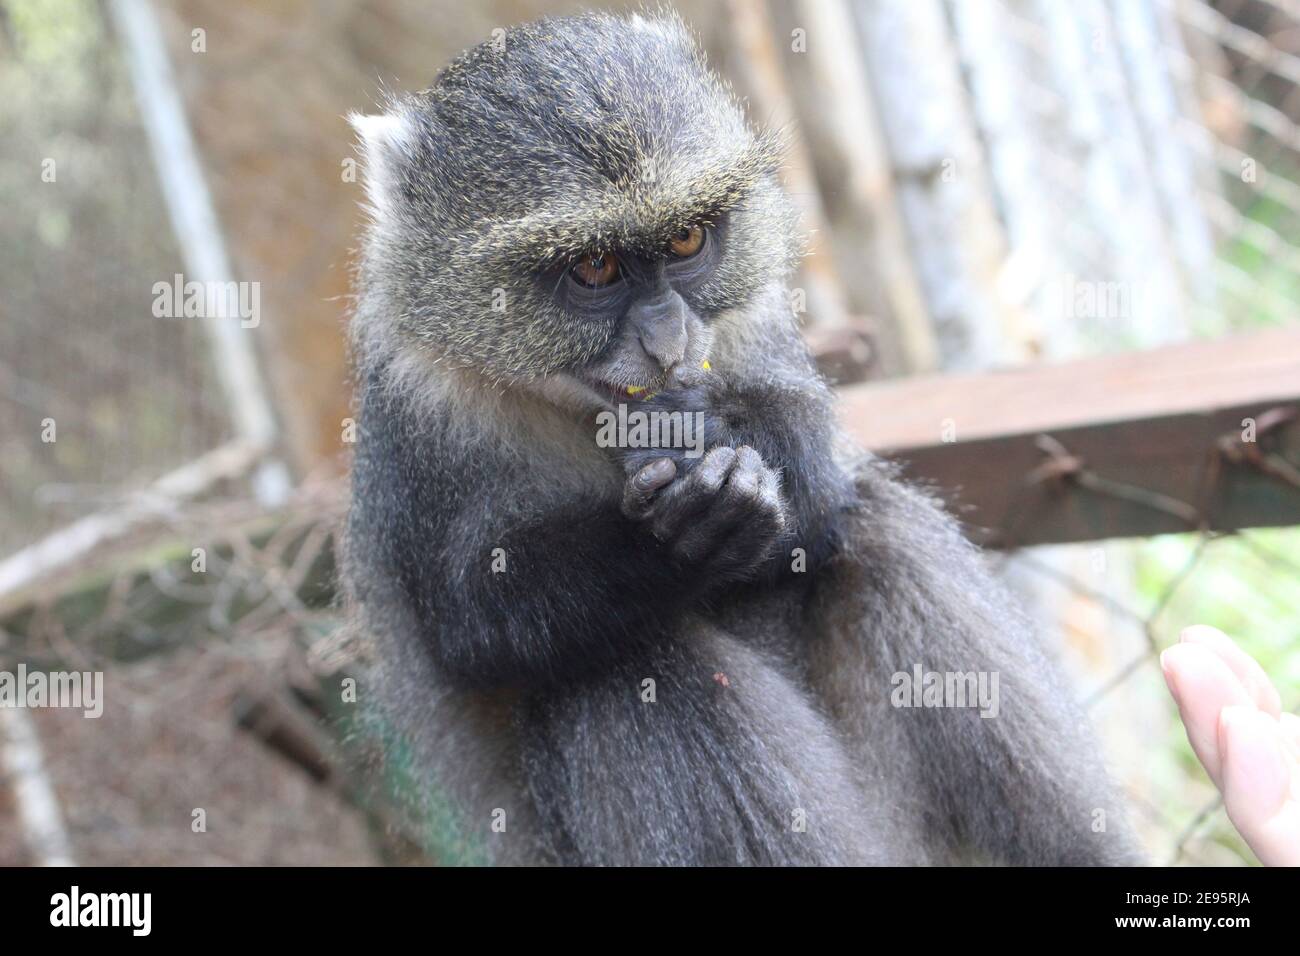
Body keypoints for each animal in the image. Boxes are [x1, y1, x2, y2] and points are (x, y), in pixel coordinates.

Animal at [343, 11, 1138, 868]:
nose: (667, 341)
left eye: (688, 240)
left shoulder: (755, 321)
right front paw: (678, 535)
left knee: (880, 527)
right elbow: (473, 618)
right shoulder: (419, 406)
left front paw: (720, 441)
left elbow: (819, 488)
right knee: (621, 666)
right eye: (594, 267)